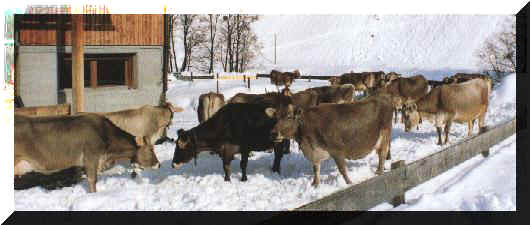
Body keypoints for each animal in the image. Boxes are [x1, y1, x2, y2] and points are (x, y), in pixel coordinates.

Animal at [264, 92, 392, 186]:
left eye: (289, 117)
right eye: (275, 117)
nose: (273, 133)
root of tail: (382, 96)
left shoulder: (337, 150)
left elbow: (342, 169)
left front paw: (349, 183)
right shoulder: (315, 152)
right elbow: (316, 169)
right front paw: (315, 184)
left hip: (384, 134)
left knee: (382, 154)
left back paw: (379, 172)